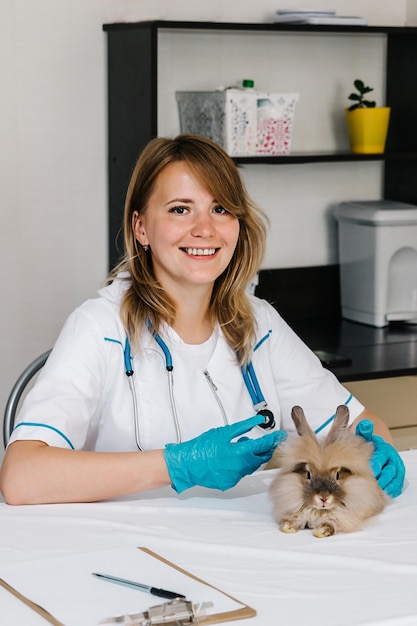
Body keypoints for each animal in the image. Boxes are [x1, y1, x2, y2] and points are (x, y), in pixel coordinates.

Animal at [270, 404, 386, 536]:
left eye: (337, 475)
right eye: (308, 474)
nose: (323, 498)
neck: (319, 511)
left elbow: (331, 522)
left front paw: (320, 531)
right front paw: (287, 527)